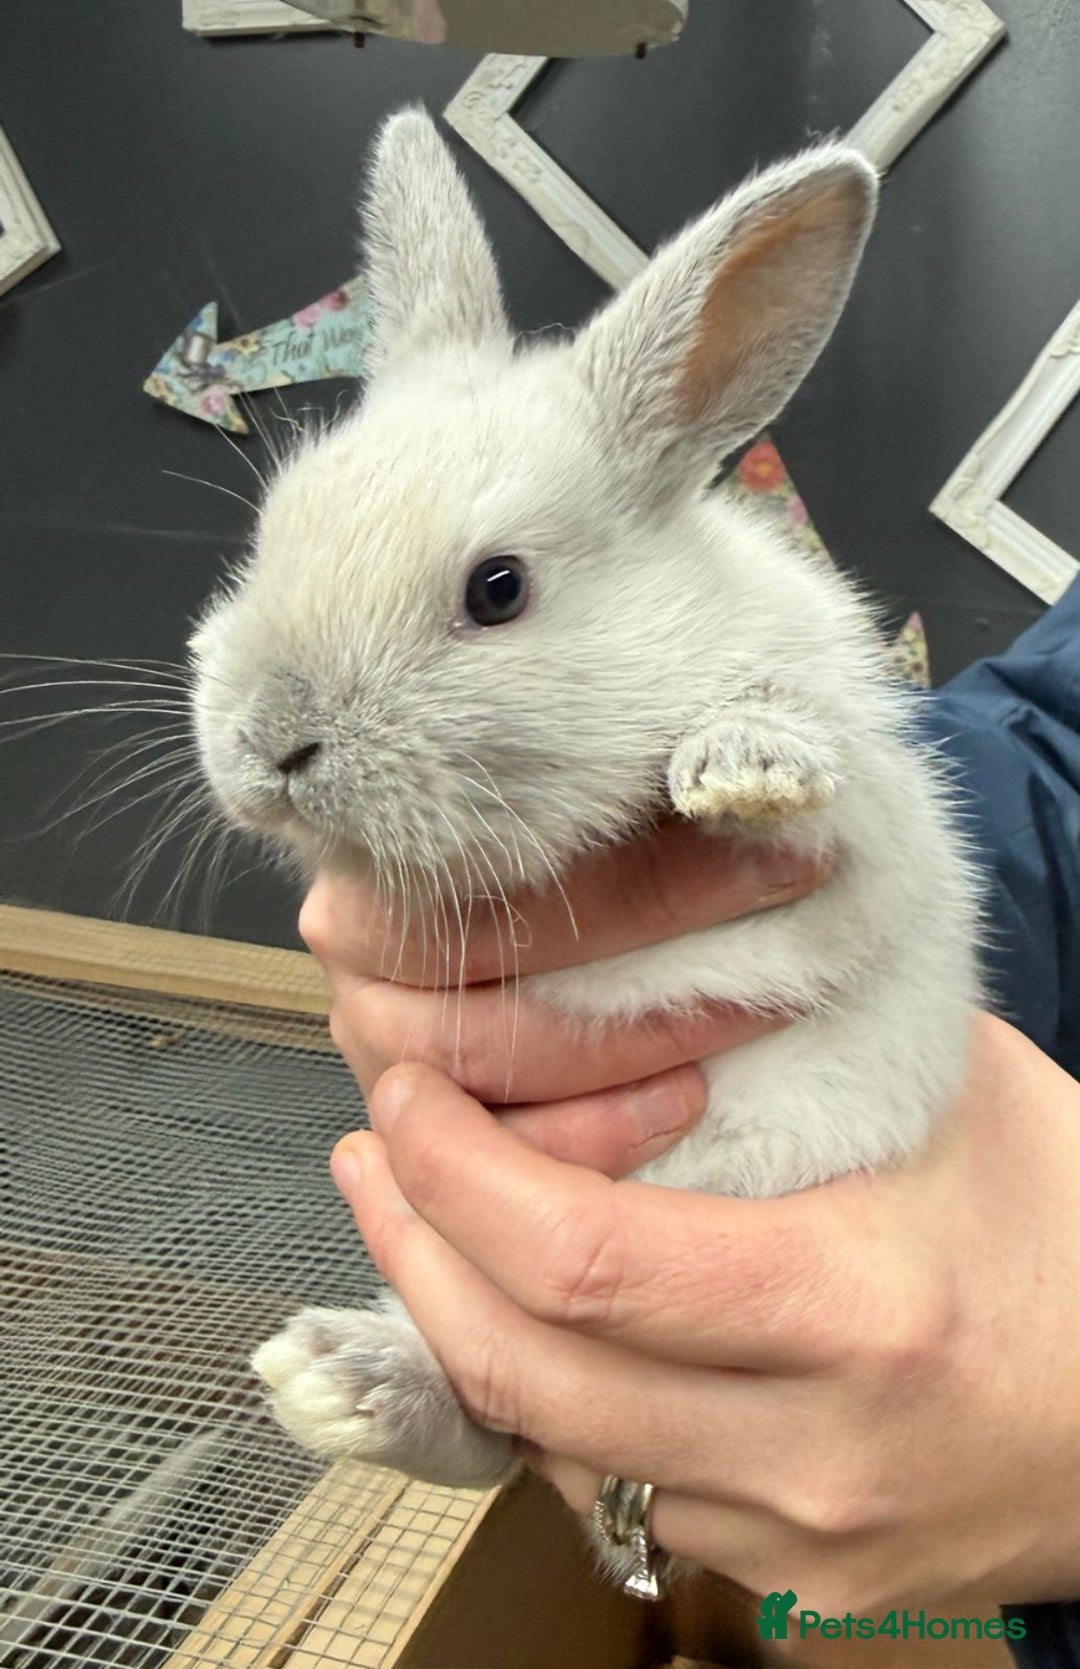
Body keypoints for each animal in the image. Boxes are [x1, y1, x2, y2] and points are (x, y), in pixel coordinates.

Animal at [189, 108, 981, 1569]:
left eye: (498, 589)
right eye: (269, 539)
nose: (270, 744)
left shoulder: (870, 842)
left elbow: (822, 786)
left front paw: (743, 765)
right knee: (489, 1423)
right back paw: (340, 1384)